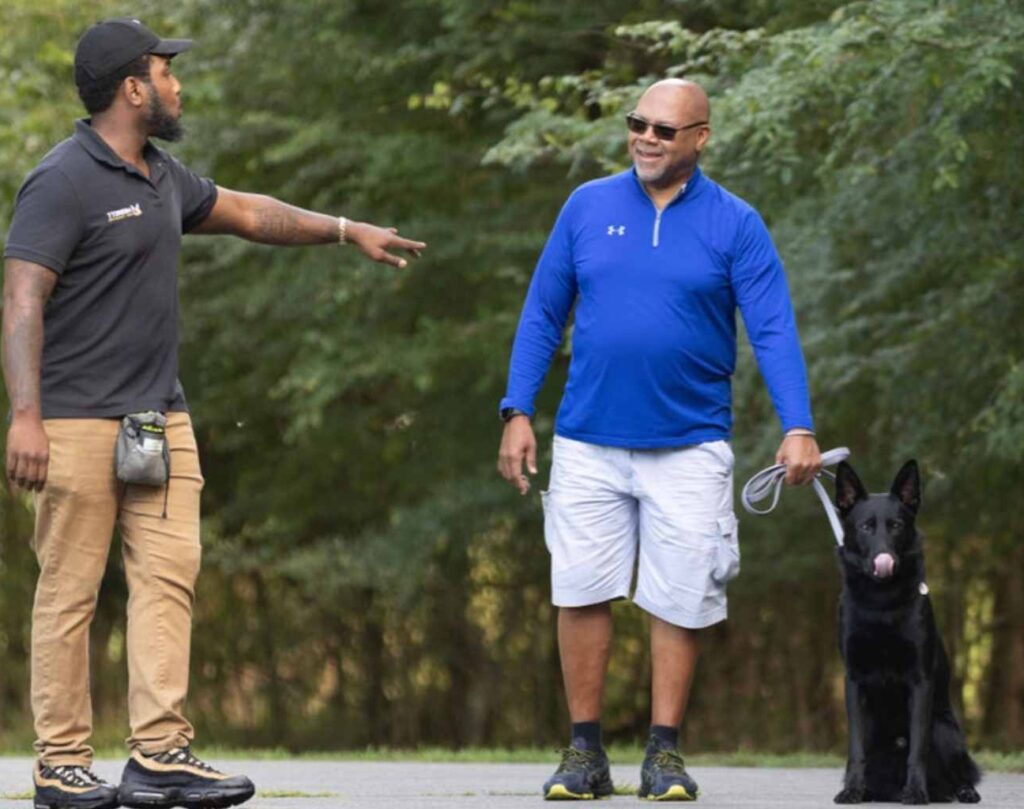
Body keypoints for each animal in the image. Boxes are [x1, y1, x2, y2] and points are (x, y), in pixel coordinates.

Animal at [835, 462, 978, 802]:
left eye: (897, 525)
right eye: (866, 527)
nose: (884, 559)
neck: (881, 605)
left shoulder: (920, 680)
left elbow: (917, 749)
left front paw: (914, 792)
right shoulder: (854, 681)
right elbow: (855, 749)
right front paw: (852, 790)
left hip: (945, 731)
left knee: (959, 771)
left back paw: (961, 791)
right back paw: (868, 790)